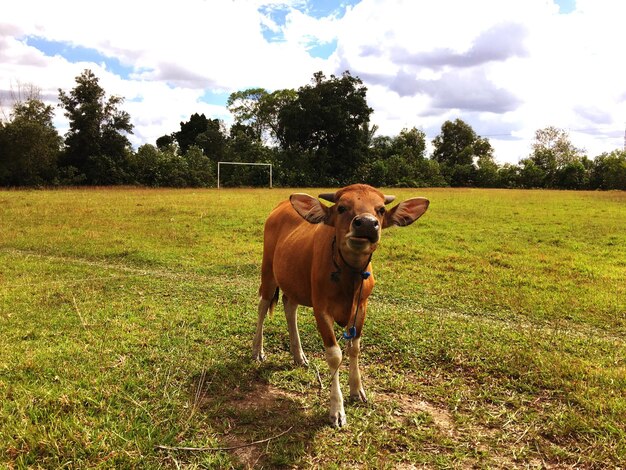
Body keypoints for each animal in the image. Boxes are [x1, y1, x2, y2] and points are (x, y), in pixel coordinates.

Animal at [251, 185, 426, 428]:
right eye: (342, 207)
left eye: (381, 209)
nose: (366, 223)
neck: (348, 277)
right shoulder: (321, 309)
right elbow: (334, 355)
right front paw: (337, 409)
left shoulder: (362, 307)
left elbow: (354, 347)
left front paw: (357, 390)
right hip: (268, 271)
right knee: (263, 305)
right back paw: (258, 350)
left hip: (294, 281)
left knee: (289, 306)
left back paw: (299, 355)